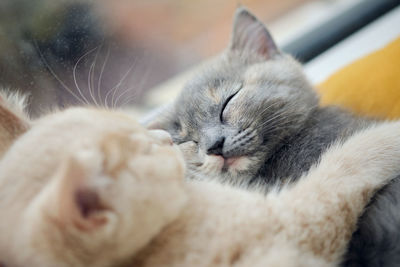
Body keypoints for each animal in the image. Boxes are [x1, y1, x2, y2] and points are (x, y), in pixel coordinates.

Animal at [2, 92, 400, 267]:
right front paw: (389, 135)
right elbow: (347, 162)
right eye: (146, 151)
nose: (166, 139)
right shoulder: (297, 221)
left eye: (136, 126)